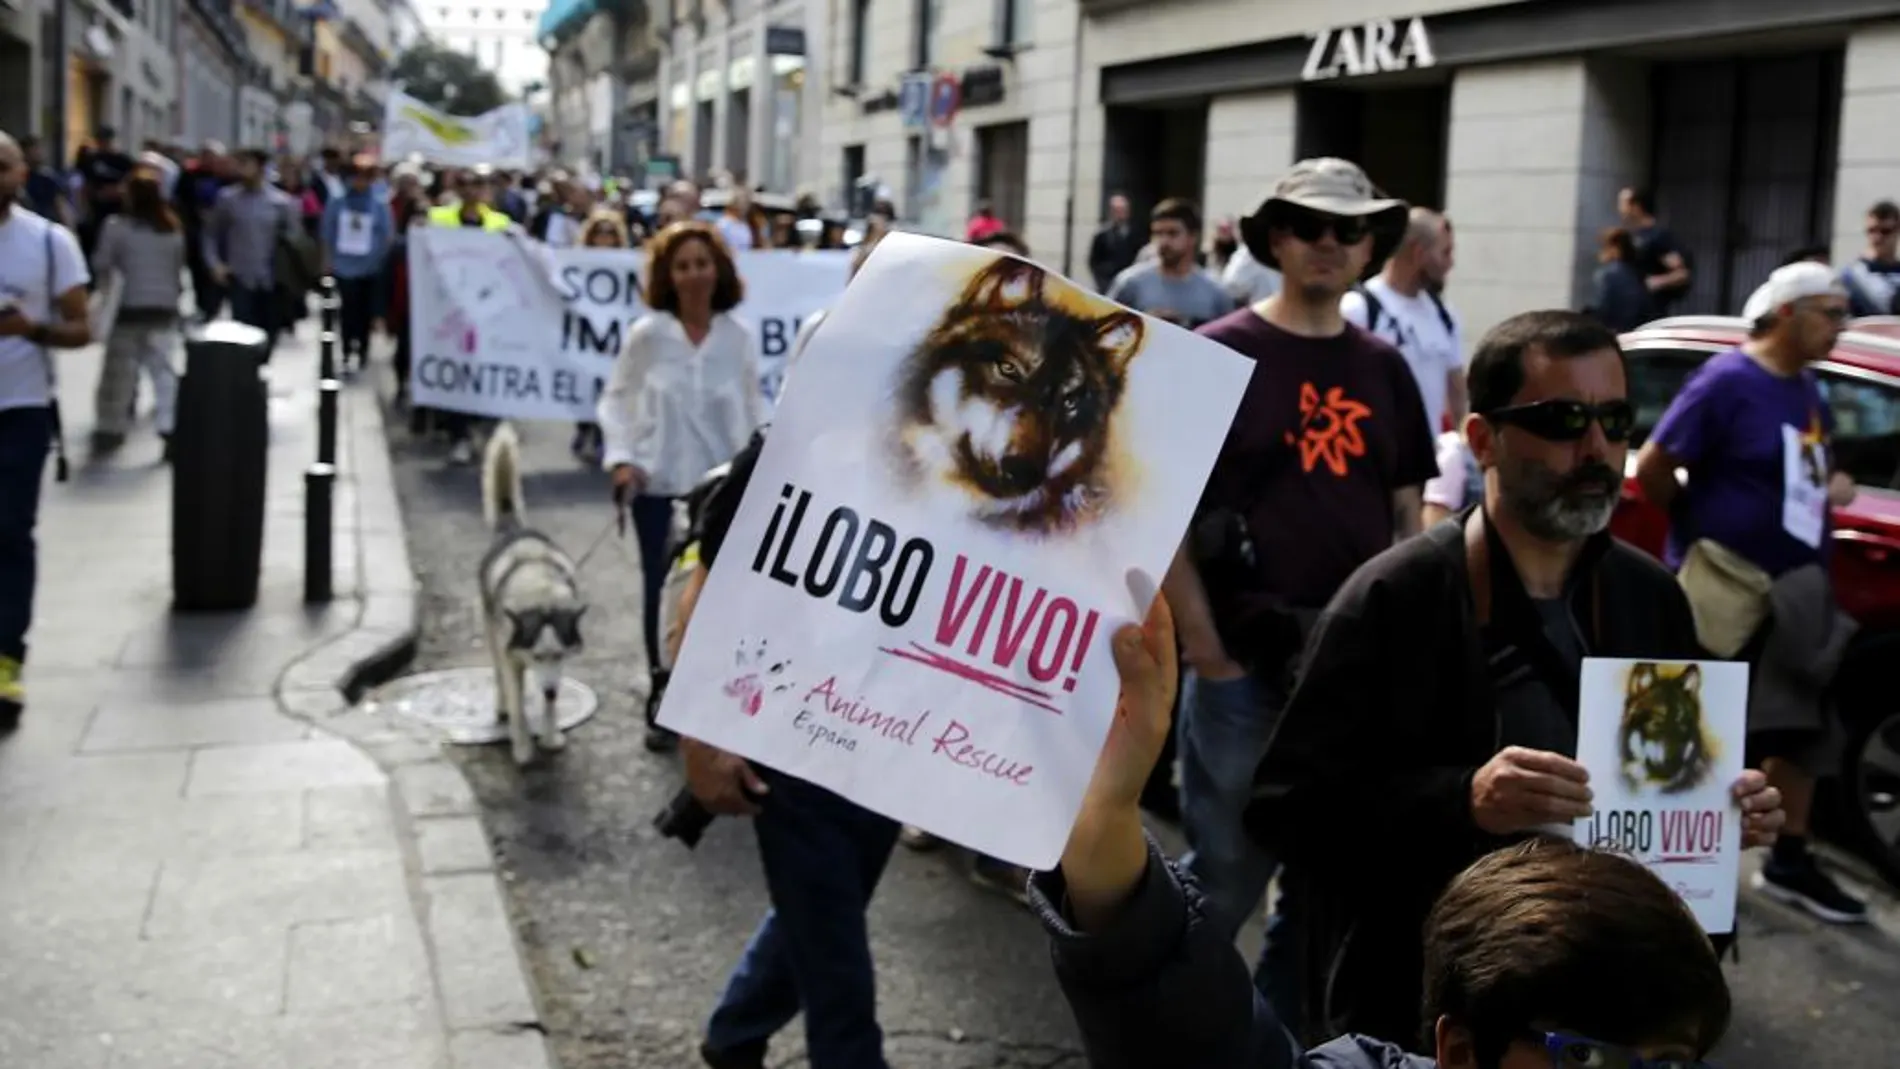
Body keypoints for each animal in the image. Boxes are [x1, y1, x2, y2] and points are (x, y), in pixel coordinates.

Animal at [482, 423, 585, 767]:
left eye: (558, 655)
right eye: (539, 655)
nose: (551, 691)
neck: (541, 593)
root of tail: (514, 530)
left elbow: (549, 704)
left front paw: (550, 736)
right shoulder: (514, 652)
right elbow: (516, 701)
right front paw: (523, 746)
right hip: (492, 633)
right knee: (501, 675)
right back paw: (503, 706)